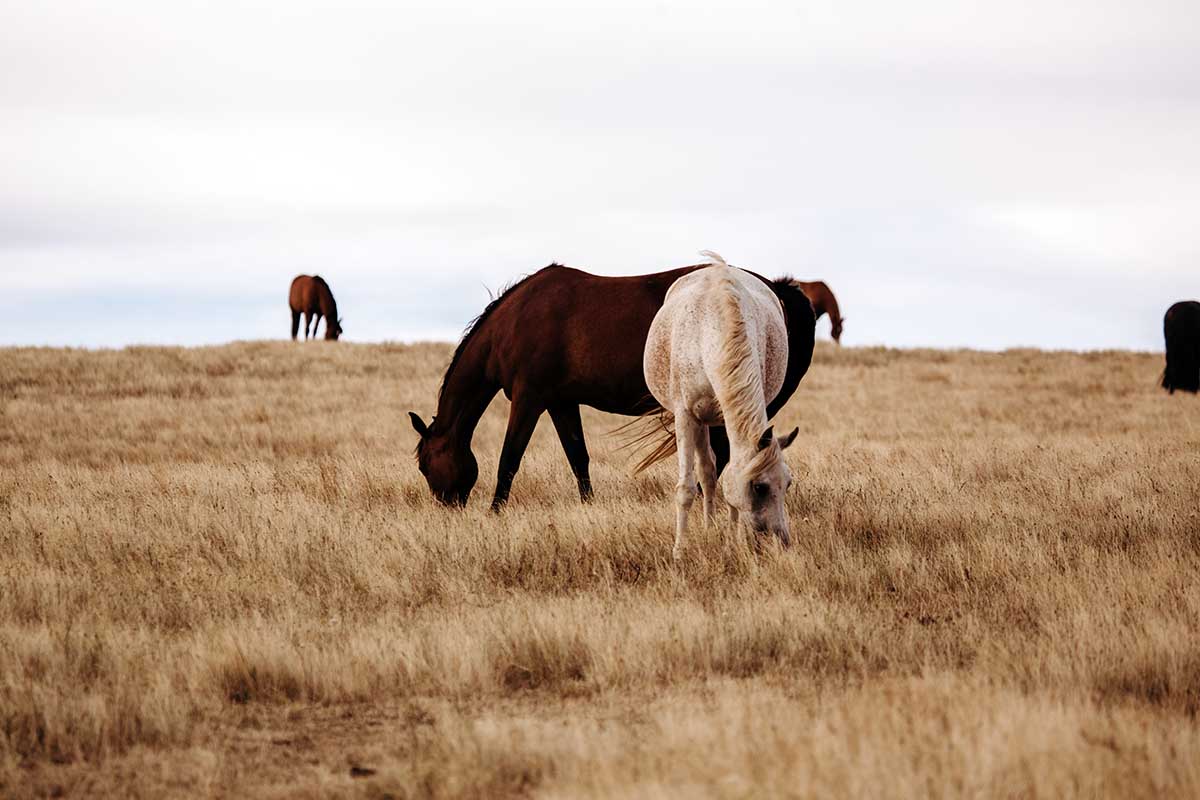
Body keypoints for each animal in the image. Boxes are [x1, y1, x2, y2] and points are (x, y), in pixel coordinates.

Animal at [410, 266, 816, 510]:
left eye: (426, 464)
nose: (446, 506)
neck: (513, 324)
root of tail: (776, 291)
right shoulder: (561, 402)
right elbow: (578, 458)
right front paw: (588, 506)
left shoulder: (529, 399)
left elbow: (509, 458)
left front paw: (496, 511)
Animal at [643, 253, 801, 561]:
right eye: (760, 487)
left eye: (788, 483)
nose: (783, 542)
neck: (710, 328)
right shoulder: (685, 416)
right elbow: (686, 488)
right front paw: (680, 550)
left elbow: (728, 481)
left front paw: (732, 544)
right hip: (700, 420)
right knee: (706, 472)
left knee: (710, 472)